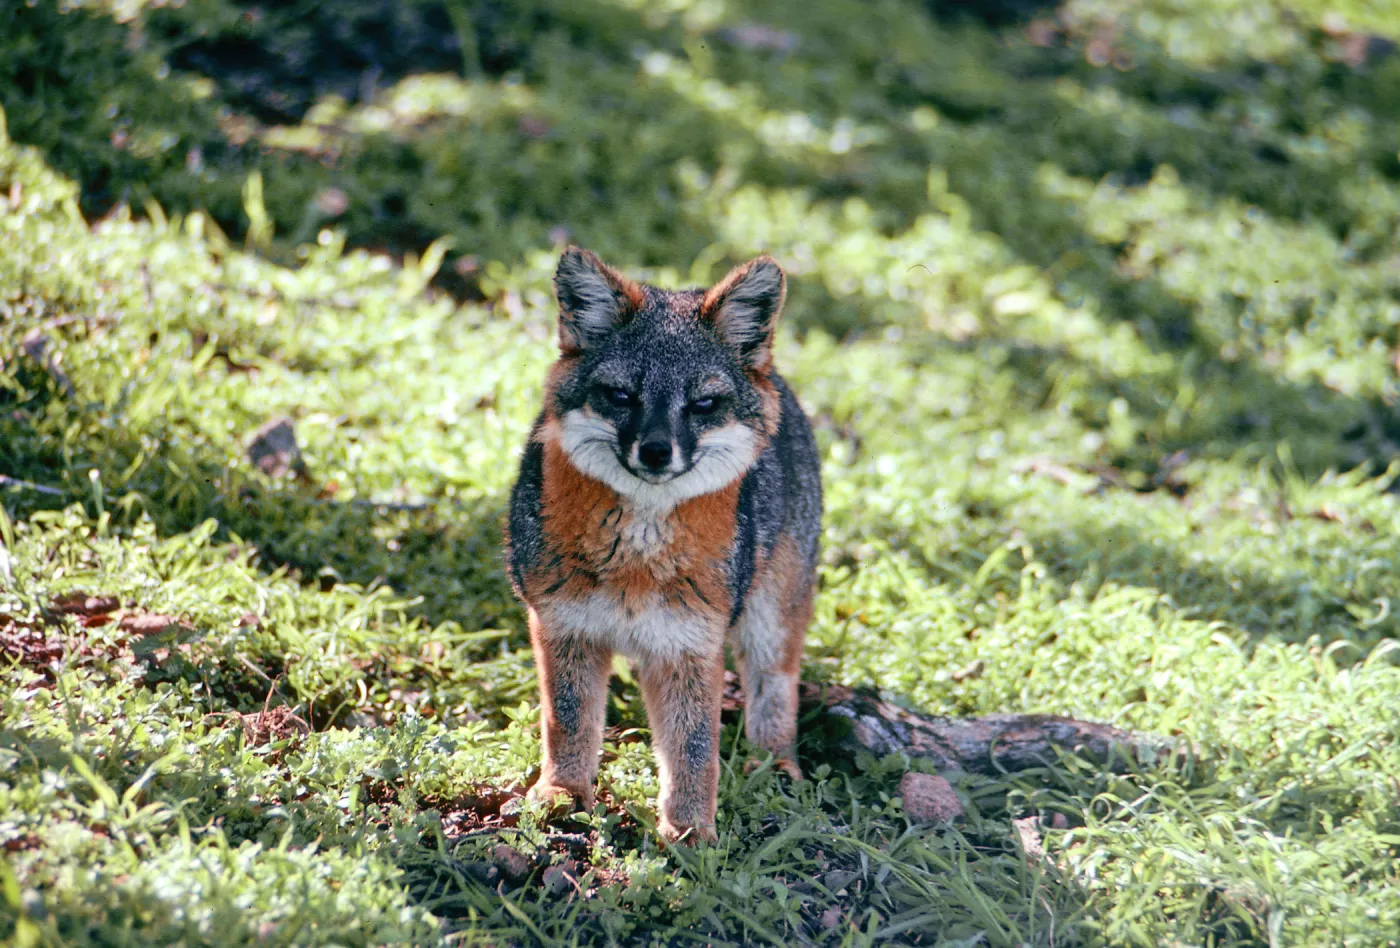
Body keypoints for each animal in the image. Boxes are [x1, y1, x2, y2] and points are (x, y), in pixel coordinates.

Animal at [505, 247, 822, 844]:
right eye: (621, 396)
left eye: (703, 404)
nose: (656, 451)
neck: (636, 559)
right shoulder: (562, 626)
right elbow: (569, 721)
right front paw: (564, 791)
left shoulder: (689, 647)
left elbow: (695, 748)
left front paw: (692, 832)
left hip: (770, 621)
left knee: (775, 690)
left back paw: (775, 765)